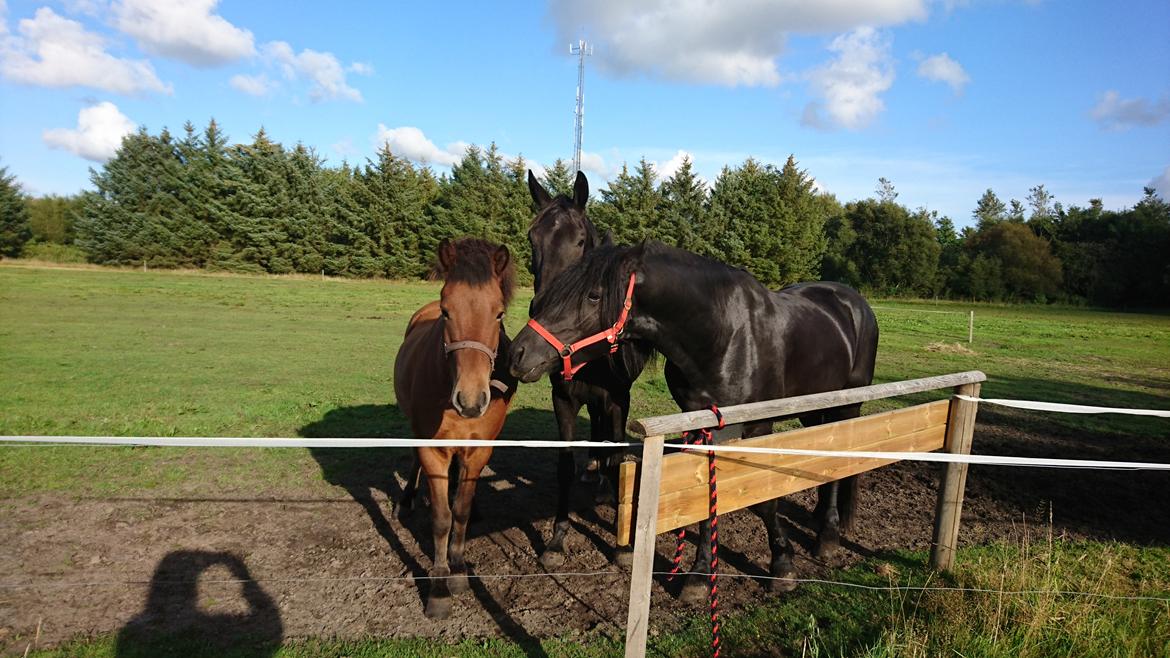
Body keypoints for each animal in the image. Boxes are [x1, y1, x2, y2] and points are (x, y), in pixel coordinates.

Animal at [393, 237, 517, 618]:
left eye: (499, 313)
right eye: (447, 311)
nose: (472, 400)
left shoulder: (479, 450)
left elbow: (459, 511)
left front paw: (459, 570)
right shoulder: (432, 450)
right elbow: (441, 519)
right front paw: (438, 588)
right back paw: (407, 499)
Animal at [512, 237, 879, 597]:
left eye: (594, 295)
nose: (517, 353)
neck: (721, 334)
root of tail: (853, 301)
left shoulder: (757, 423)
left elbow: (765, 501)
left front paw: (782, 565)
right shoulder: (699, 422)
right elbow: (704, 493)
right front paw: (699, 576)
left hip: (847, 404)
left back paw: (827, 537)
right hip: (813, 409)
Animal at [528, 168, 655, 564]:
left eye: (580, 240)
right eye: (532, 237)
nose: (542, 309)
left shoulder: (617, 400)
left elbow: (616, 458)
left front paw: (622, 542)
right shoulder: (563, 398)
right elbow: (565, 465)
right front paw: (557, 538)